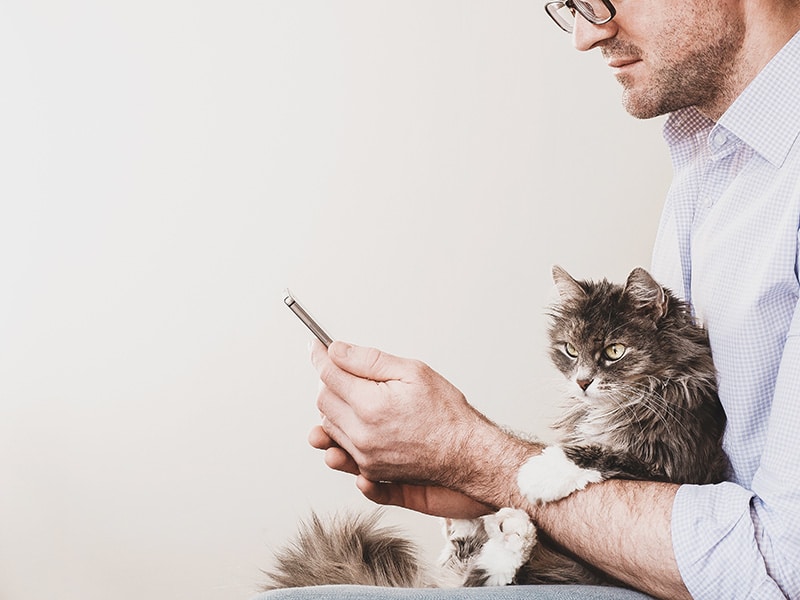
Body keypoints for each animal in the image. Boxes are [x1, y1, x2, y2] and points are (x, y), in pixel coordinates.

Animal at [264, 268, 732, 592]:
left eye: (615, 351)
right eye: (570, 350)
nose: (582, 382)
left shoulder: (678, 466)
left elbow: (603, 452)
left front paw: (538, 473)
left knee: (490, 573)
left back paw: (511, 531)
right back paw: (473, 526)